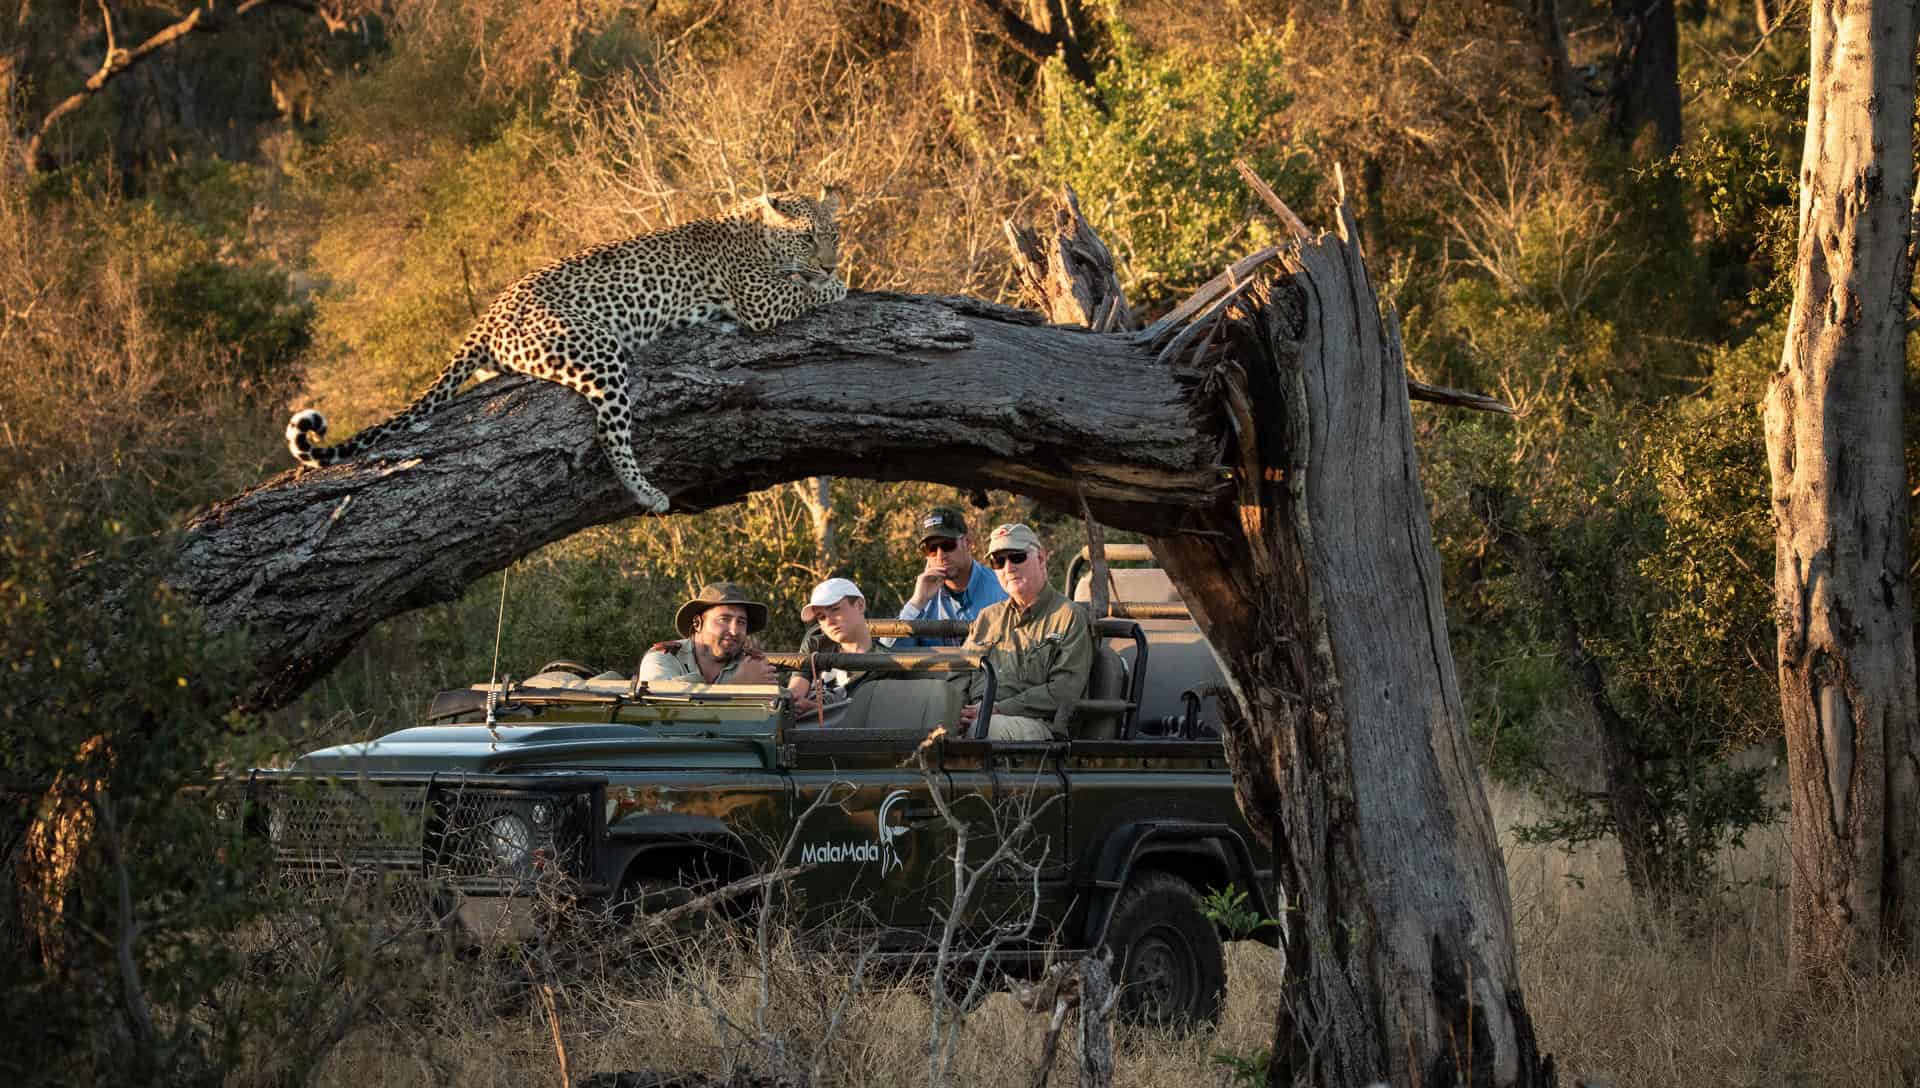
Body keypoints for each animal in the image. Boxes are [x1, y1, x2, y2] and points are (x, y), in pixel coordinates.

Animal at [285, 190, 848, 513]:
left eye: (834, 234)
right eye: (807, 237)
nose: (828, 260)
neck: (758, 231)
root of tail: (488, 313)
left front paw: (835, 276)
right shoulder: (760, 301)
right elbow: (809, 291)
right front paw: (838, 283)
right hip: (597, 350)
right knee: (609, 433)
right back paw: (647, 492)